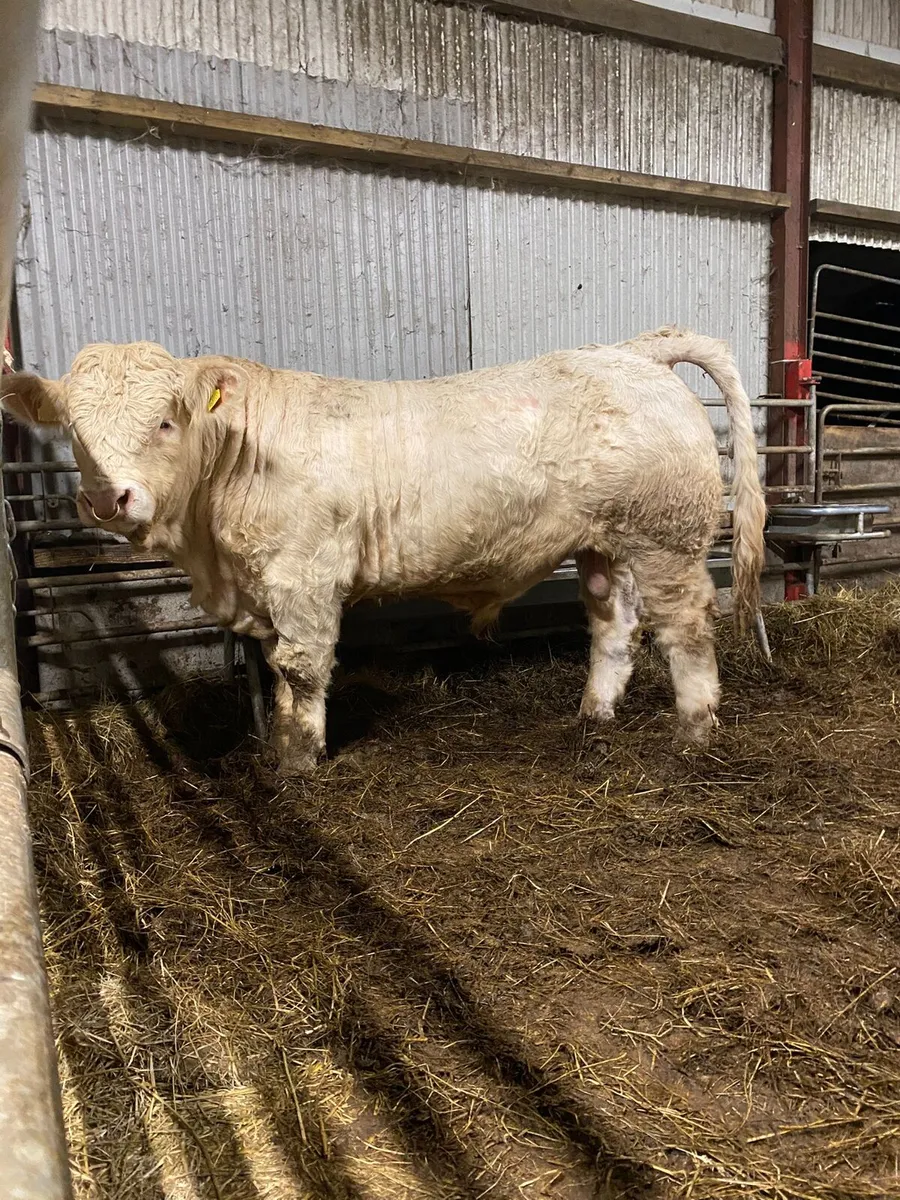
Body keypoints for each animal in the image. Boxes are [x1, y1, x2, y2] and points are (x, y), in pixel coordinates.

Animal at [2, 327, 766, 775]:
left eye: (164, 421)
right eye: (74, 432)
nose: (110, 499)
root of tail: (632, 353)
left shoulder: (304, 577)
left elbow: (303, 670)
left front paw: (300, 764)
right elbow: (279, 674)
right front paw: (283, 743)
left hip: (664, 536)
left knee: (686, 627)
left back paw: (693, 731)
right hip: (606, 544)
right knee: (614, 626)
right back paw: (593, 715)